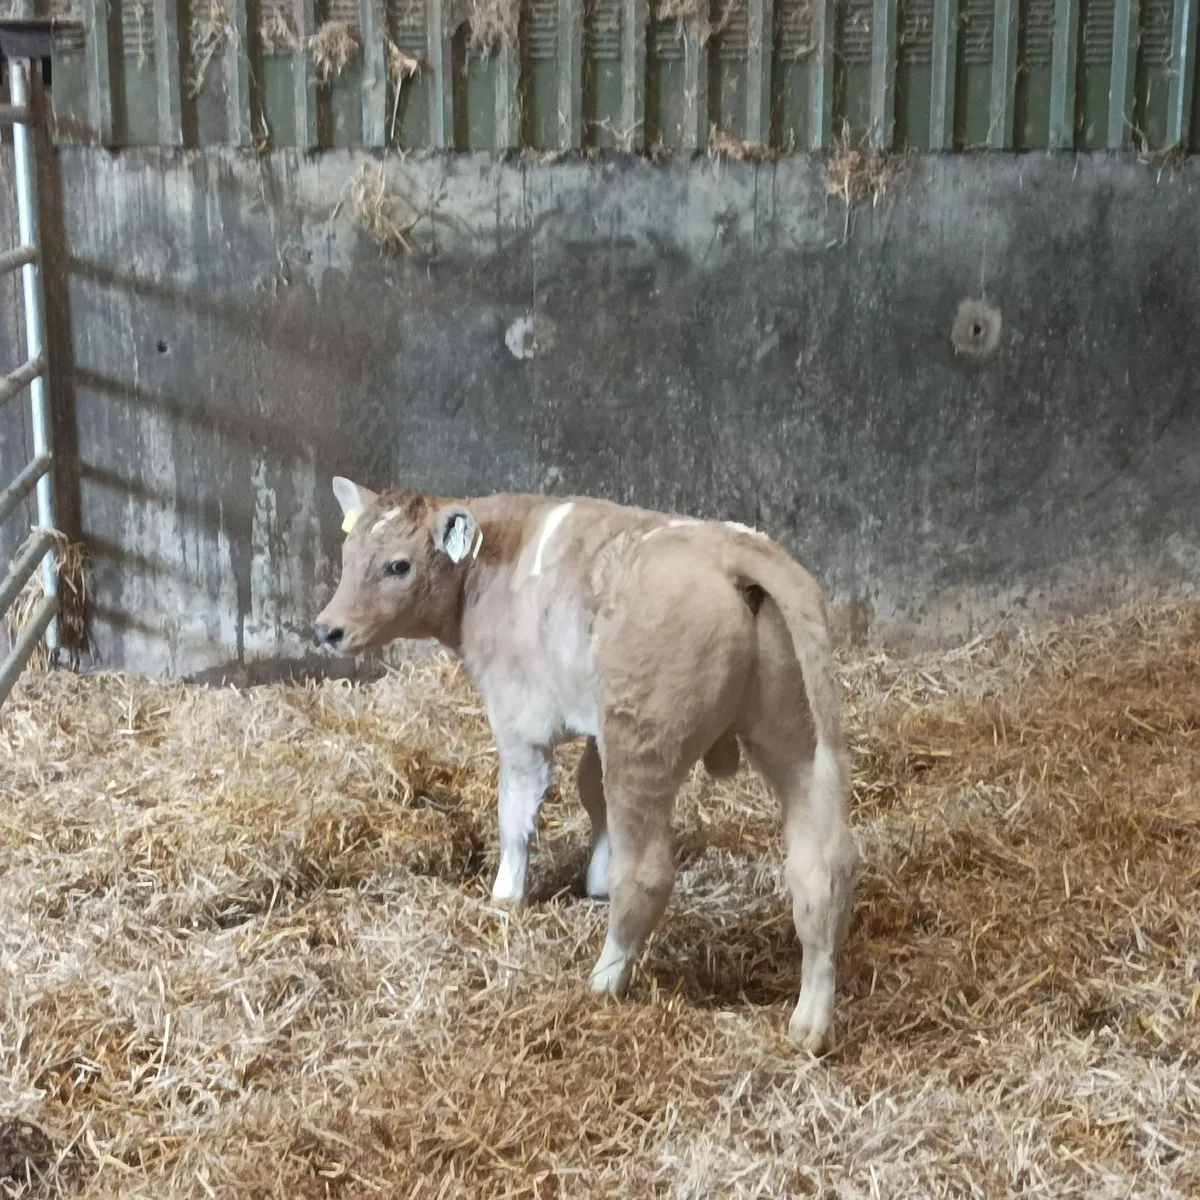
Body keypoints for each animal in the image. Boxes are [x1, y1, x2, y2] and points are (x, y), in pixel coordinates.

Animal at [315, 479, 860, 1052]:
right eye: (348, 555)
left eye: (397, 566)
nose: (326, 630)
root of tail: (731, 550)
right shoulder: (595, 727)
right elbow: (590, 790)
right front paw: (594, 875)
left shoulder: (519, 717)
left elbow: (517, 812)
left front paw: (506, 897)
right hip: (792, 735)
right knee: (821, 869)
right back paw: (808, 1025)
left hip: (642, 738)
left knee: (647, 873)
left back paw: (603, 981)